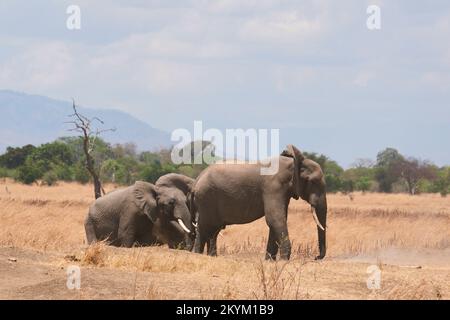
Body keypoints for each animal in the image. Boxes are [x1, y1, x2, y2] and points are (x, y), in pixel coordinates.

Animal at [192, 145, 326, 260]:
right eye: (313, 181)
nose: (316, 257)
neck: (292, 164)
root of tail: (198, 179)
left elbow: (276, 221)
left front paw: (269, 261)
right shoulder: (273, 187)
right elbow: (275, 219)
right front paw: (284, 260)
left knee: (212, 229)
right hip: (206, 198)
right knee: (205, 227)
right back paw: (197, 255)